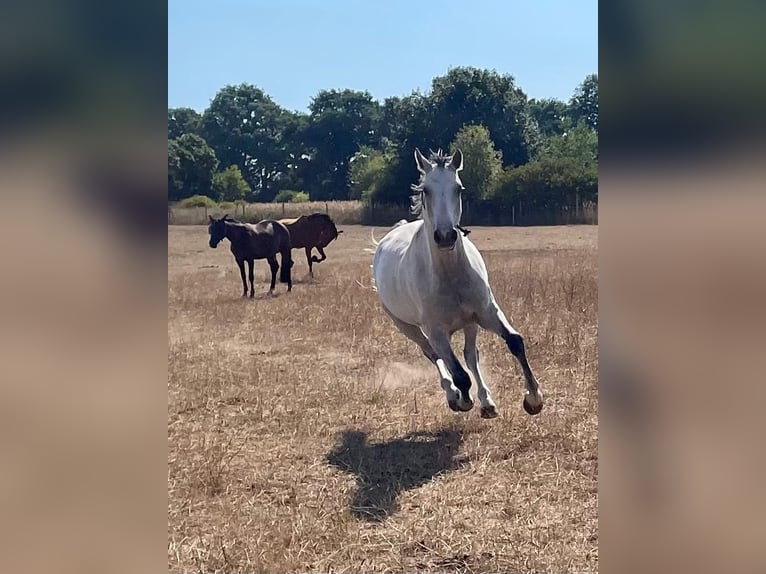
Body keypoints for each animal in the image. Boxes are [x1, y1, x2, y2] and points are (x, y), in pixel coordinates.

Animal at [374, 148, 544, 418]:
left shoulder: (486, 312)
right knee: (433, 355)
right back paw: (452, 394)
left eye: (459, 188)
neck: (450, 276)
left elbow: (515, 342)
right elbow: (459, 374)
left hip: (469, 323)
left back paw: (487, 401)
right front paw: (463, 400)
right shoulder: (436, 331)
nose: (445, 236)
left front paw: (534, 399)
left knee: (470, 355)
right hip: (407, 327)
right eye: (425, 190)